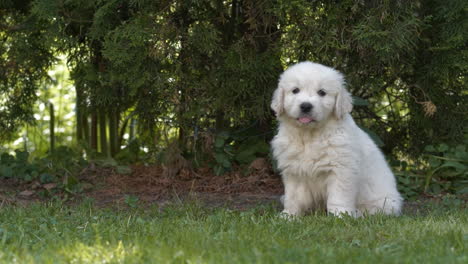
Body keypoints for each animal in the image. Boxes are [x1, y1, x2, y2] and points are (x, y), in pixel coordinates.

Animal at [270, 61, 402, 217]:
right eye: (295, 90)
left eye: (322, 92)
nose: (306, 106)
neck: (310, 136)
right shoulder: (294, 170)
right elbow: (293, 197)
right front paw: (288, 215)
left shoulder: (341, 169)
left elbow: (338, 197)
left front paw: (340, 216)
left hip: (385, 202)